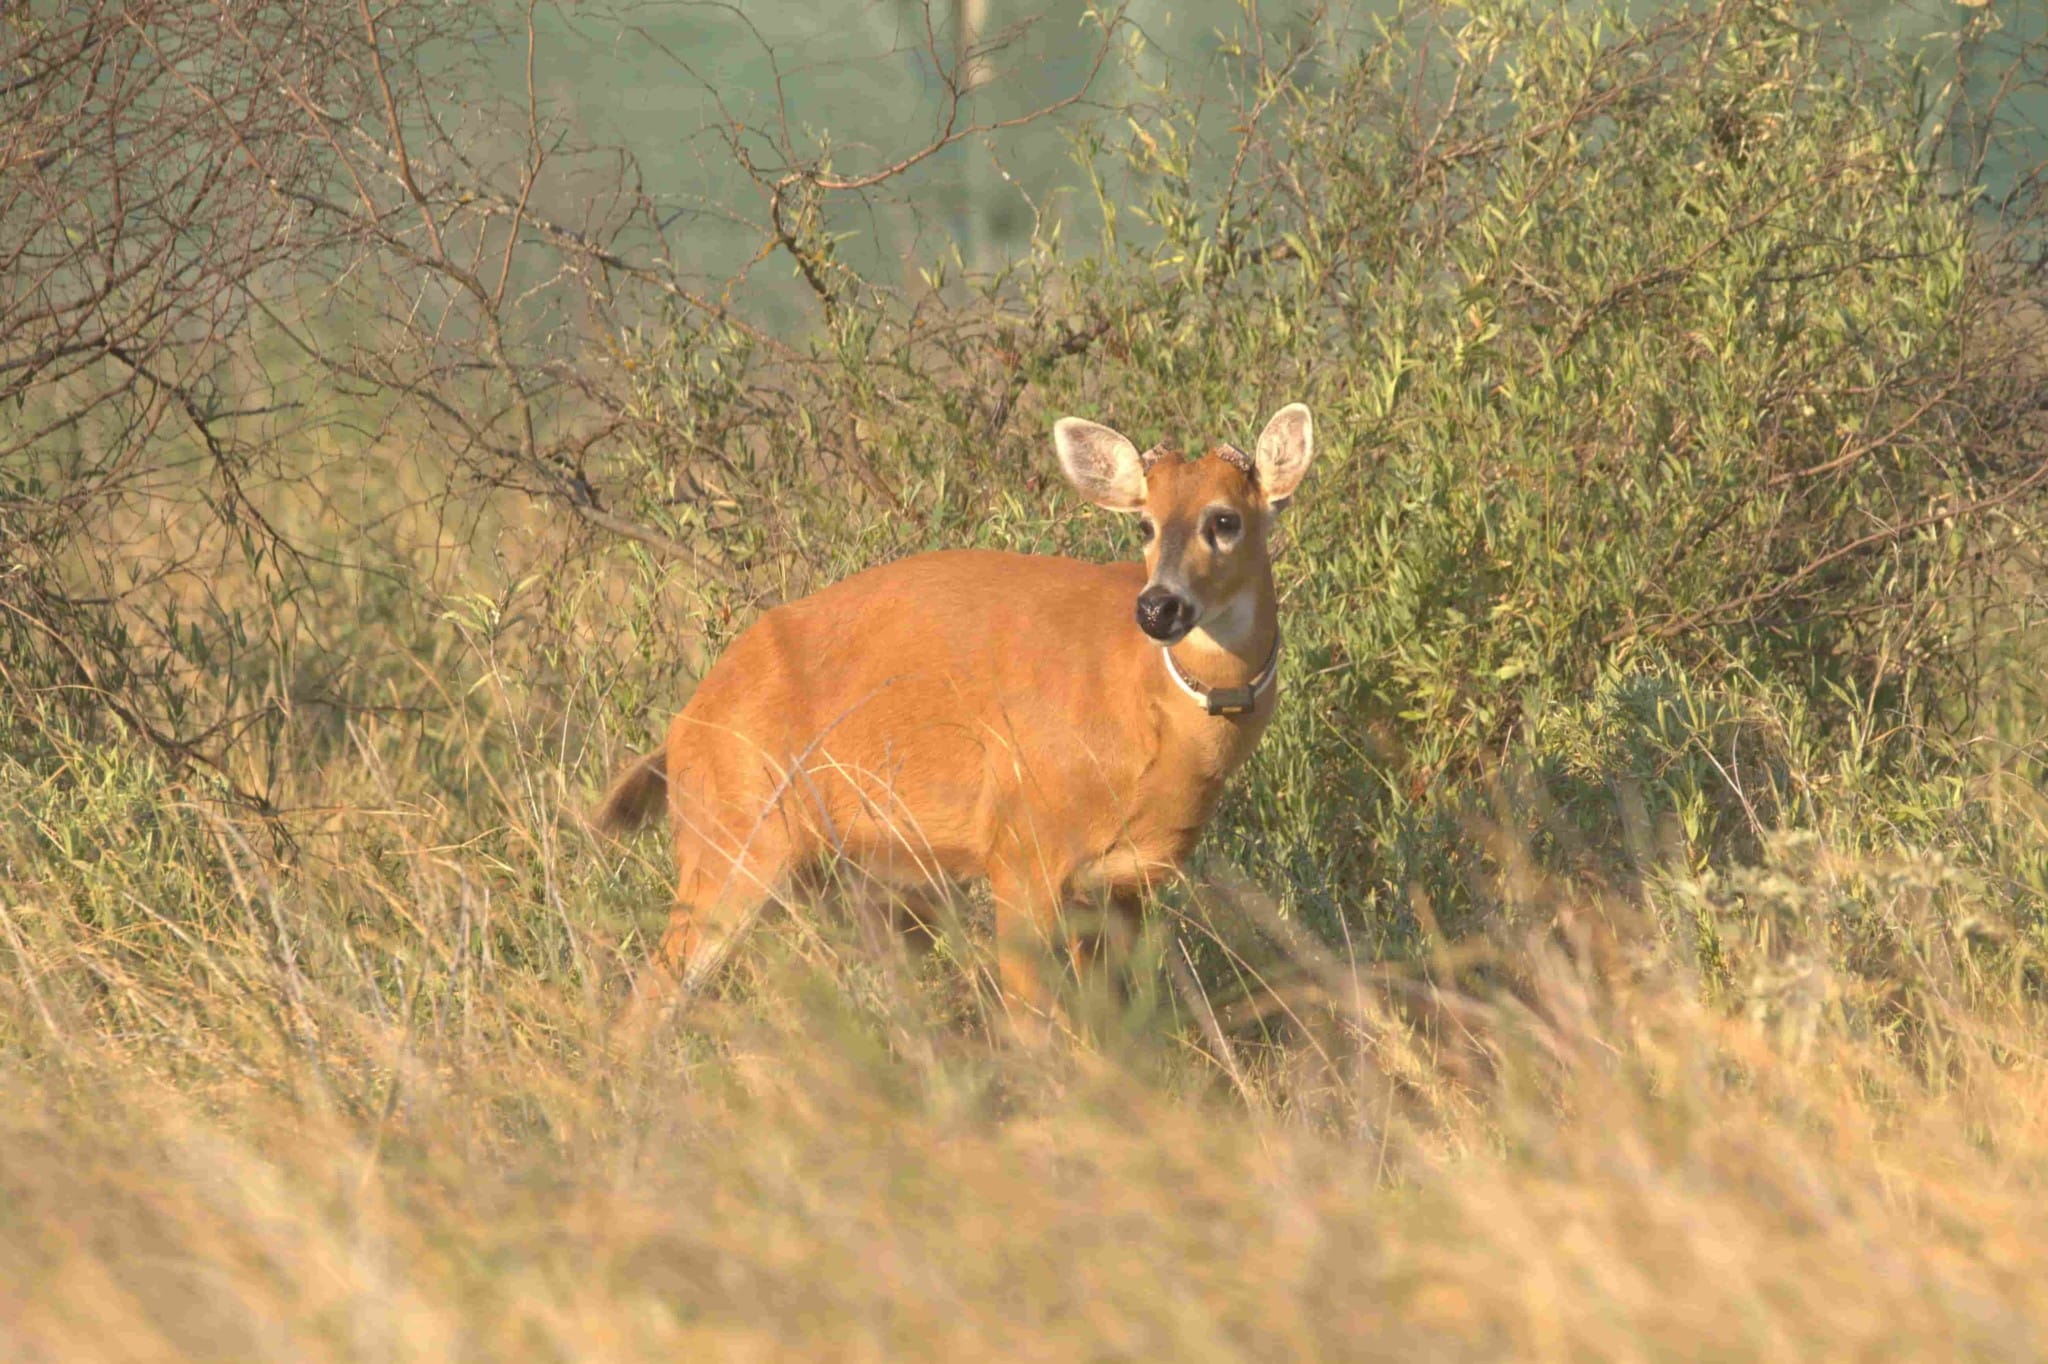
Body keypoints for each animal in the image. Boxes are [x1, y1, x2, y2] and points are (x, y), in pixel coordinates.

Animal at [598, 401, 1318, 1007]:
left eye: (1224, 519)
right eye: (1144, 522)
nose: (1157, 607)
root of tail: (683, 728)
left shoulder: (1123, 885)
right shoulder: (1021, 850)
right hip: (733, 841)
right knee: (649, 1002)